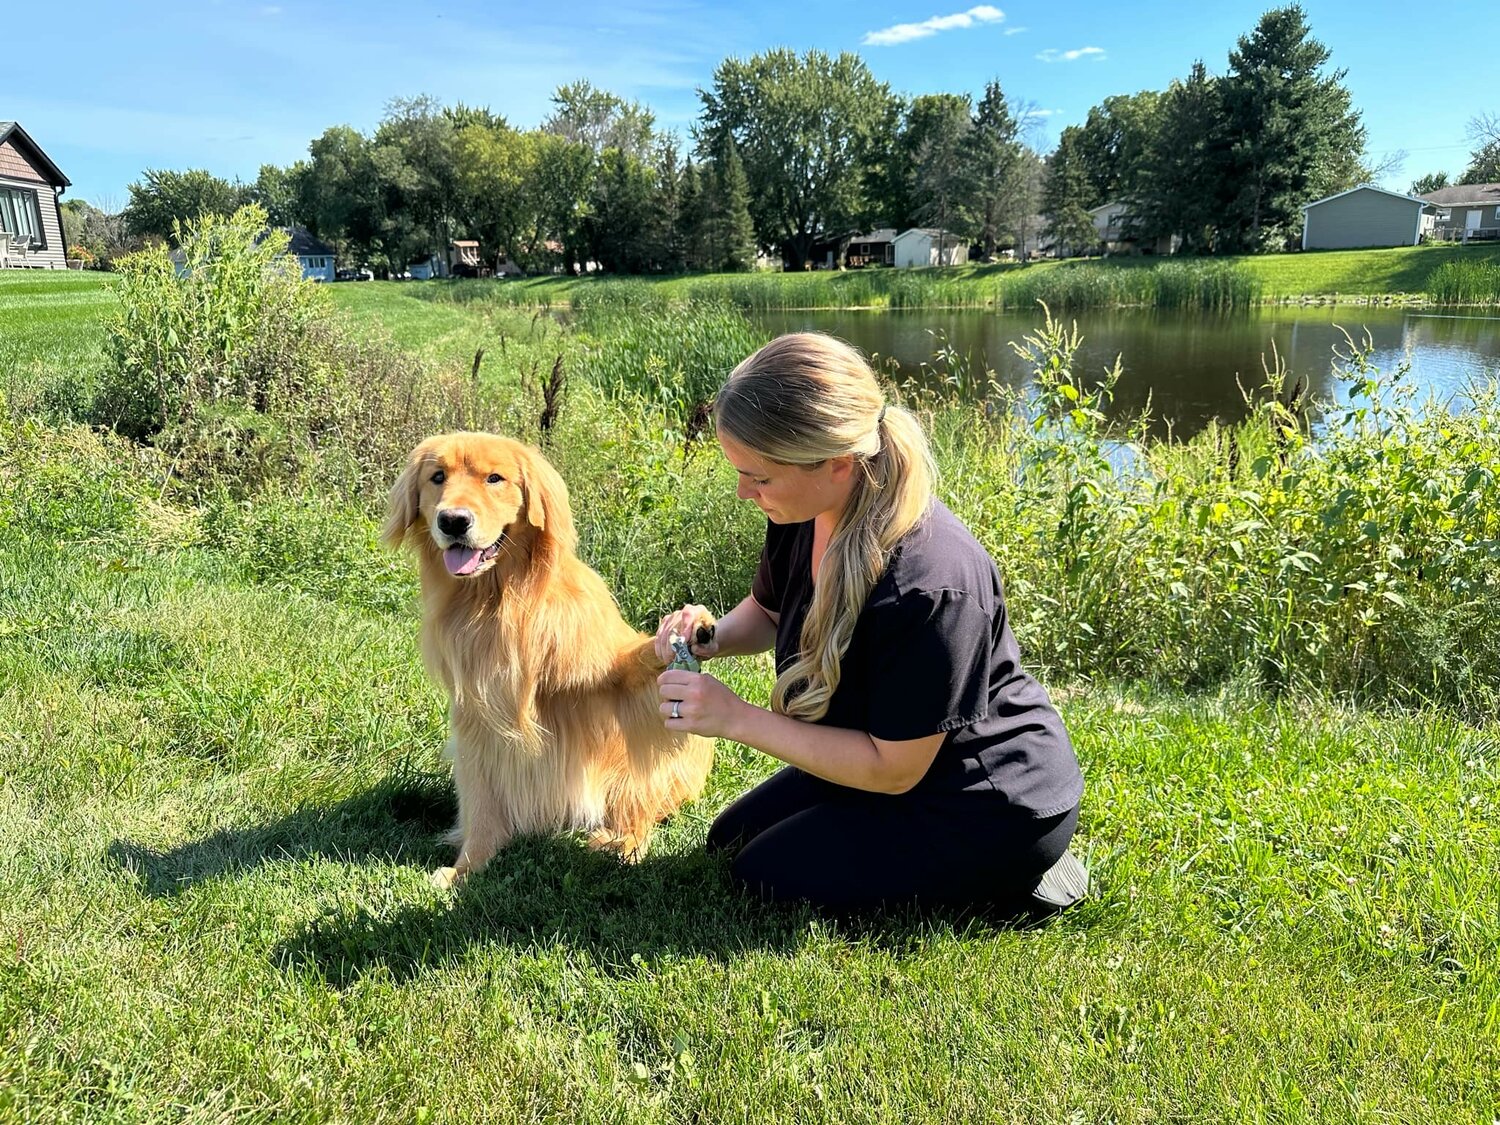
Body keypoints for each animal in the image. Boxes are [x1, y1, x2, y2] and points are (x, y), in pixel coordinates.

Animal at [384, 435, 717, 888]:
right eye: (438, 477)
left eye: (495, 478)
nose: (452, 521)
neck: (499, 602)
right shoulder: (475, 718)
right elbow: (480, 803)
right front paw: (466, 867)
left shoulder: (610, 681)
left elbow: (636, 666)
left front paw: (686, 627)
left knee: (641, 806)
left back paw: (621, 843)